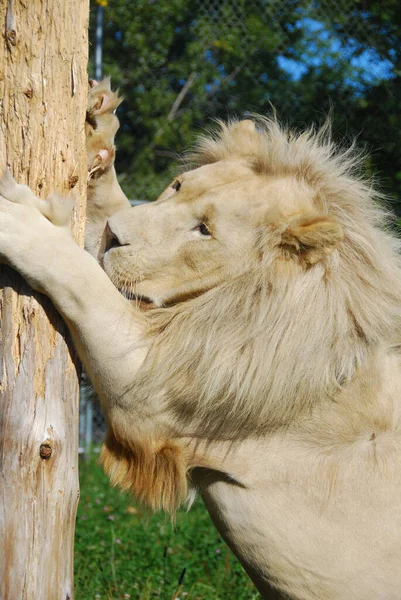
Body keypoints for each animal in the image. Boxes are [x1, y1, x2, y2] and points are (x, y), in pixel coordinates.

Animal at [0, 79, 400, 600]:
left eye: (204, 230)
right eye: (176, 187)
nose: (113, 238)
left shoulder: (152, 391)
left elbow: (78, 273)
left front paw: (17, 219)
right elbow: (103, 228)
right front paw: (96, 125)